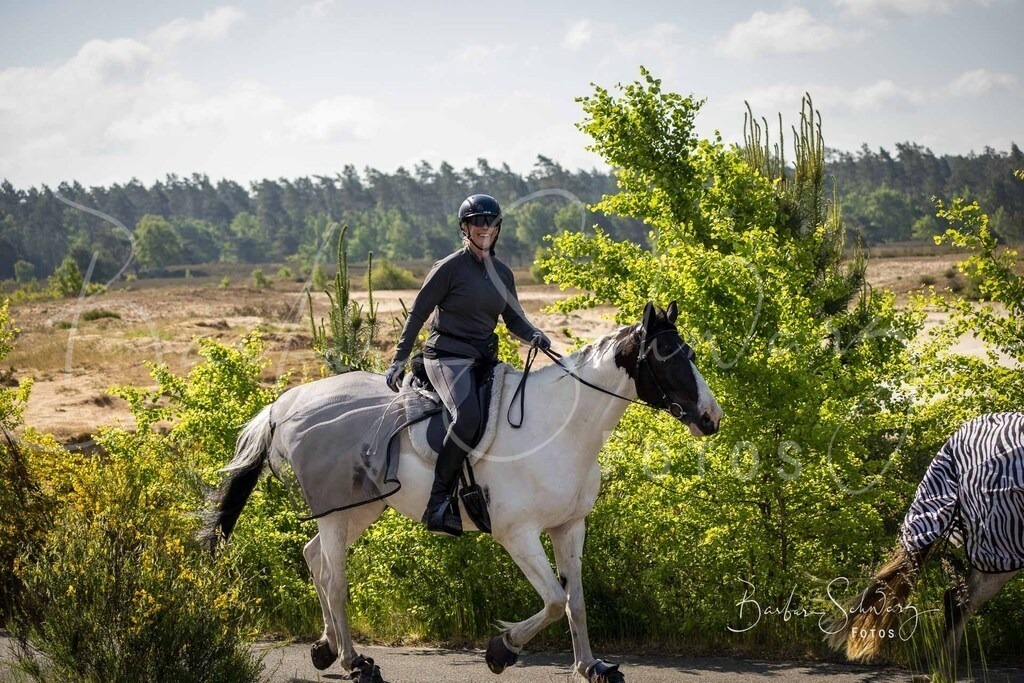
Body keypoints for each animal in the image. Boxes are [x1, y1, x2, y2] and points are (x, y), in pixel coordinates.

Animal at [202, 301, 722, 683]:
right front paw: (501, 650)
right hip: (334, 510)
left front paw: (591, 666)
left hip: (360, 507)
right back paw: (356, 662)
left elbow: (574, 600)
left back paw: (326, 648)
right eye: (667, 358)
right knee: (334, 579)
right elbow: (554, 600)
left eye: (691, 355)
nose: (711, 418)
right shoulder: (518, 534)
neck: (559, 426)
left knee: (314, 558)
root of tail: (286, 403)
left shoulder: (570, 526)